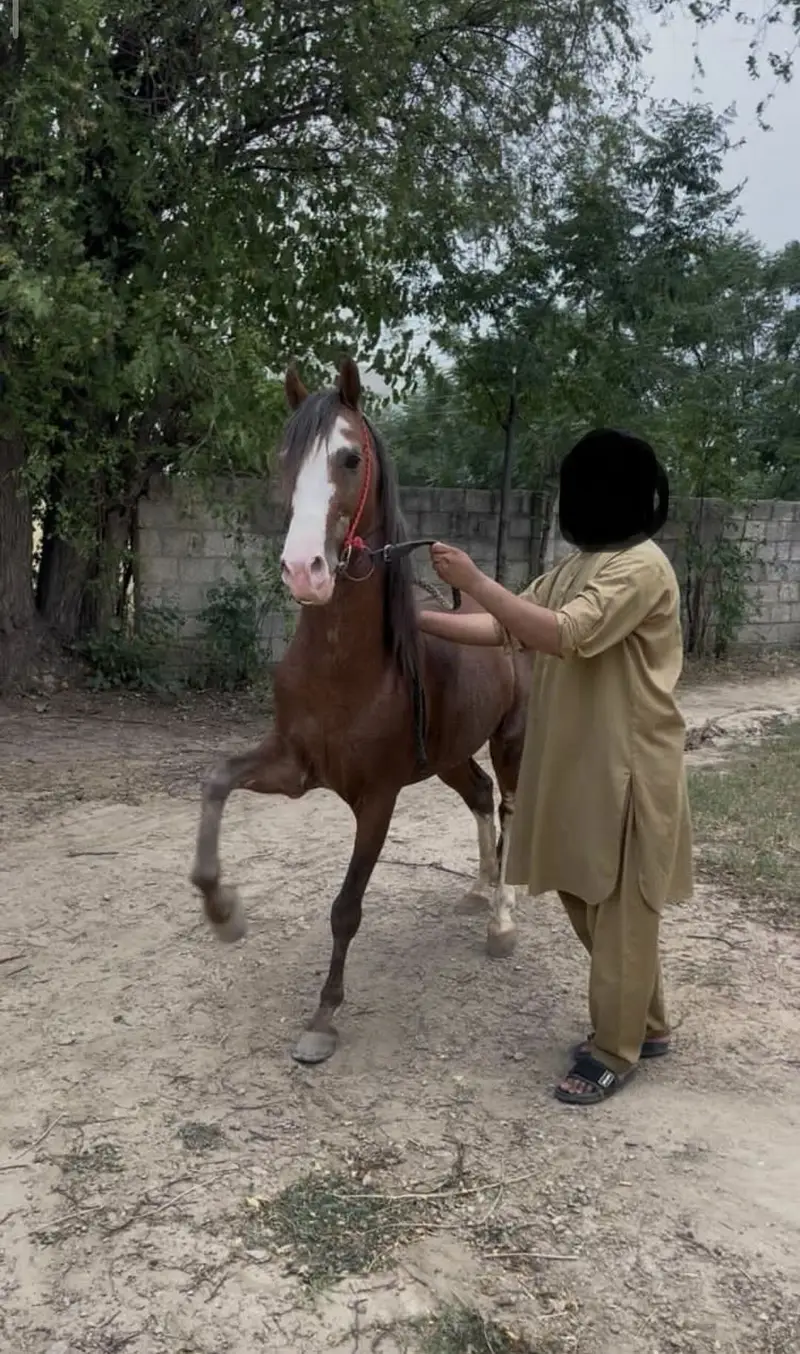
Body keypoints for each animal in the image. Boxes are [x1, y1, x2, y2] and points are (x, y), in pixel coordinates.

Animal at [191, 357, 532, 1065]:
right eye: (284, 457)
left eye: (349, 458)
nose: (304, 570)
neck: (347, 666)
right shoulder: (293, 767)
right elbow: (215, 782)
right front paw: (225, 913)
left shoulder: (377, 798)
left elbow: (346, 906)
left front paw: (323, 1018)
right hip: (452, 756)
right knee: (480, 795)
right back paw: (476, 890)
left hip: (511, 739)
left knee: (512, 807)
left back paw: (501, 918)